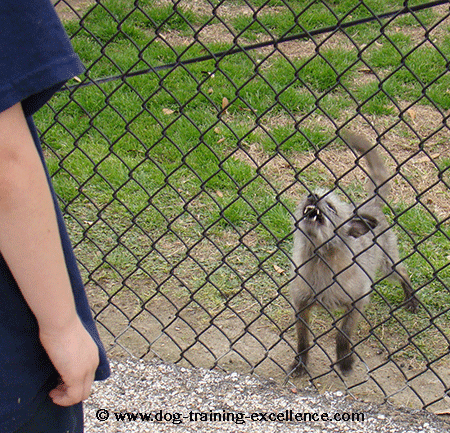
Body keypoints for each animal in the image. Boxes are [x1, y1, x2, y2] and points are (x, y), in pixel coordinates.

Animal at [288, 131, 418, 374]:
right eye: (308, 197)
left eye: (331, 206)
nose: (312, 196)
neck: (321, 259)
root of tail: (369, 205)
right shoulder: (301, 306)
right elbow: (303, 340)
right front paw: (301, 363)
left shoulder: (357, 302)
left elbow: (342, 335)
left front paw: (344, 360)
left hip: (388, 265)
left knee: (404, 272)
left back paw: (411, 299)